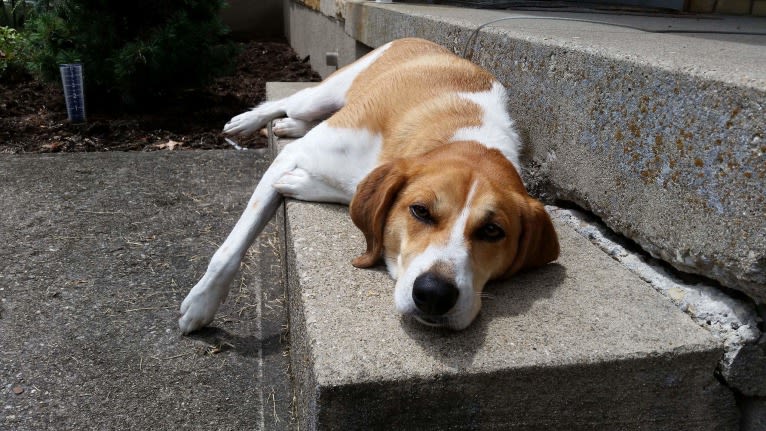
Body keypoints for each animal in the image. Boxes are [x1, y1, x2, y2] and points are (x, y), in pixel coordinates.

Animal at [183, 37, 560, 334]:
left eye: (493, 231)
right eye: (420, 211)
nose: (435, 294)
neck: (464, 133)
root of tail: (425, 41)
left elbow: (349, 187)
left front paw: (303, 183)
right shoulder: (294, 154)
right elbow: (230, 249)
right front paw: (201, 304)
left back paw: (290, 127)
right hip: (324, 94)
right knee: (291, 101)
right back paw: (249, 121)